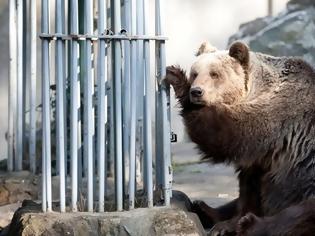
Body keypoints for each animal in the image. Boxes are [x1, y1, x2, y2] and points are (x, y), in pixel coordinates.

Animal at [164, 41, 315, 235]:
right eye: (195, 73)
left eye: (214, 74)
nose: (196, 91)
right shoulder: (262, 158)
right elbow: (249, 187)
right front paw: (227, 222)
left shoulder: (279, 115)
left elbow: (225, 134)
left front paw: (178, 78)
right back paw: (204, 208)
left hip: (306, 184)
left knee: (299, 214)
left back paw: (250, 225)